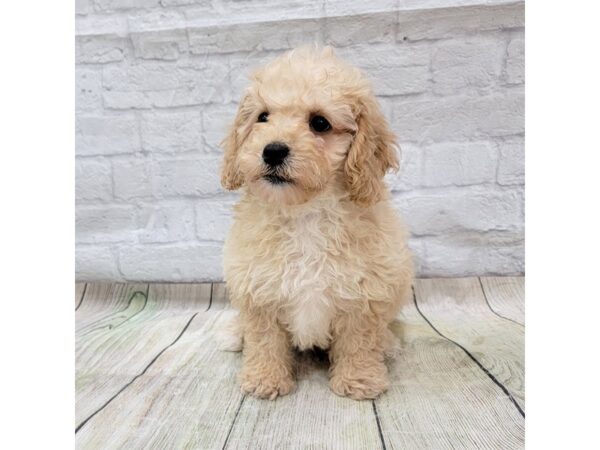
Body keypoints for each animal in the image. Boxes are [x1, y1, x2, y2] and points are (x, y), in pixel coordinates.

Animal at [219, 46, 412, 400]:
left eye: (320, 123)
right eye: (262, 117)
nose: (273, 151)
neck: (305, 213)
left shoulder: (364, 294)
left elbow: (359, 341)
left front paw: (359, 380)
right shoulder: (258, 290)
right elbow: (264, 339)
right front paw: (265, 379)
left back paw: (388, 343)